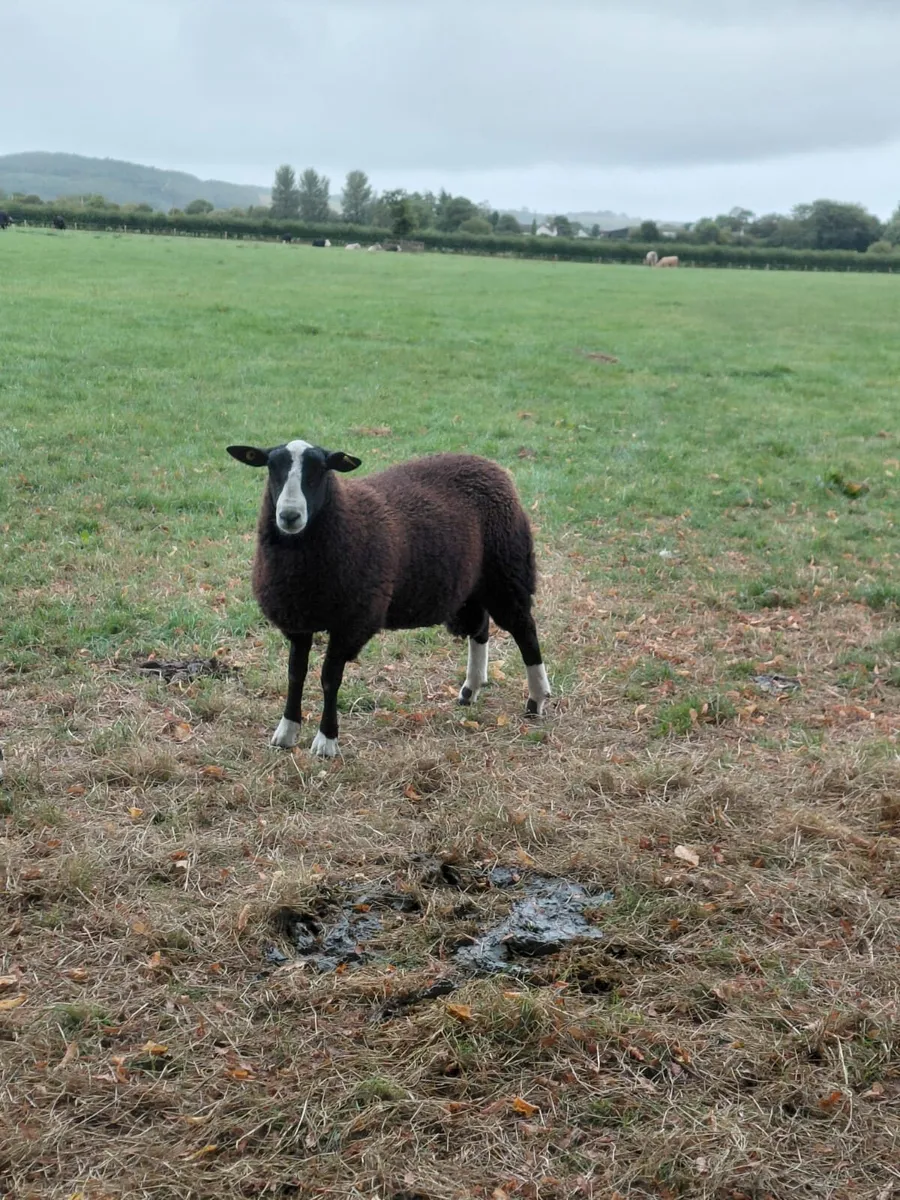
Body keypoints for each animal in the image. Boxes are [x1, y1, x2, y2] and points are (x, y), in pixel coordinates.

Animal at [227, 440, 551, 757]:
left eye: (320, 471)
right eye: (272, 468)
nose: (289, 516)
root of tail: (487, 464)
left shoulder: (352, 622)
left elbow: (329, 679)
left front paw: (326, 741)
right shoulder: (298, 621)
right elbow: (296, 674)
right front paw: (286, 731)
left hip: (507, 570)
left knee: (525, 631)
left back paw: (536, 699)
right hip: (472, 587)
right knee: (480, 629)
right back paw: (470, 690)